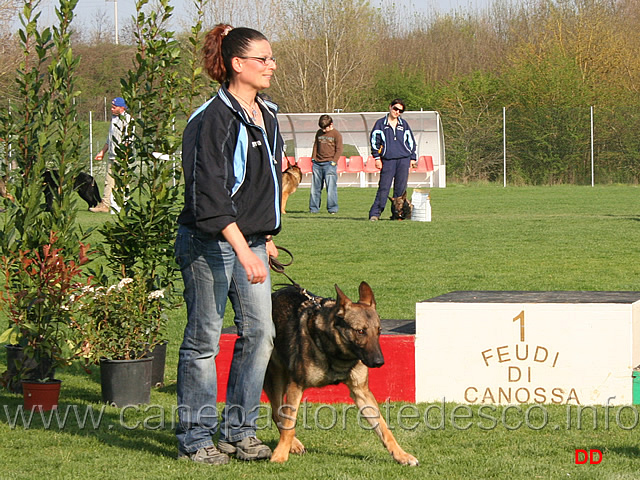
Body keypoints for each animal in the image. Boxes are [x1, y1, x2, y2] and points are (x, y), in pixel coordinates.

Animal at [264, 282, 420, 464]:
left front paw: (401, 455)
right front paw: (280, 454)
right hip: (277, 379)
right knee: (278, 413)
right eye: (360, 331)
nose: (379, 362)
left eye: (379, 331)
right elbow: (289, 424)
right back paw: (293, 444)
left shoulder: (361, 393)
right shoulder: (296, 386)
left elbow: (383, 427)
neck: (337, 352)